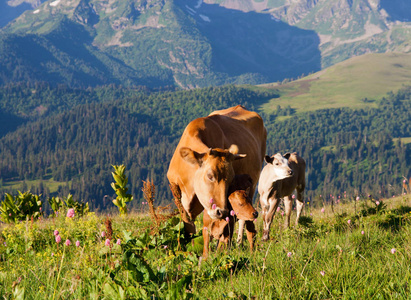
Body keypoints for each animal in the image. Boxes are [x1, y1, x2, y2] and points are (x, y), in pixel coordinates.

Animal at [167, 105, 268, 234]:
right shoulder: (175, 188)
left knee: (245, 221)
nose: (222, 212)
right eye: (210, 176)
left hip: (253, 185)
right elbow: (189, 226)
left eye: (231, 180)